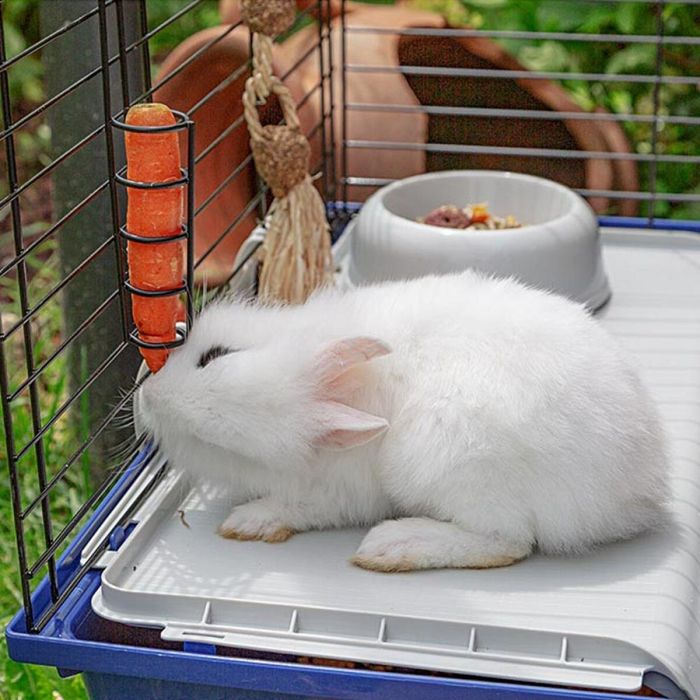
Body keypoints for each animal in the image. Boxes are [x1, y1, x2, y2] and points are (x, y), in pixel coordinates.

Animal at [138, 270, 669, 572]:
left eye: (215, 356)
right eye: (215, 446)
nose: (146, 397)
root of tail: (638, 491)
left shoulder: (340, 492)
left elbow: (300, 507)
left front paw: (248, 522)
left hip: (450, 463)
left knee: (508, 542)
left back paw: (392, 546)